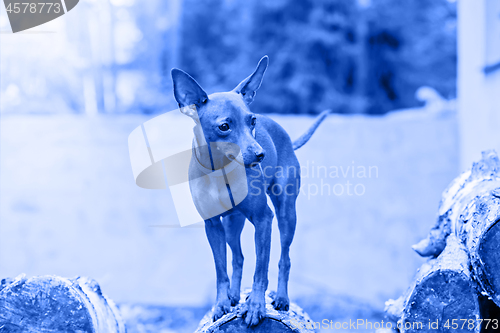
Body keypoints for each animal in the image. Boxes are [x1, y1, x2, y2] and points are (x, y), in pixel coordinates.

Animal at [172, 55, 332, 326]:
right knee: (237, 258)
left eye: (252, 121)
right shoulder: (212, 225)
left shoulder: (264, 219)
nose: (260, 154)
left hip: (286, 214)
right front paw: (221, 303)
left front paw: (256, 306)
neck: (220, 172)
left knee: (284, 258)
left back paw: (281, 298)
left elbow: (261, 269)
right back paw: (234, 295)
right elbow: (221, 270)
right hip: (232, 224)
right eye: (224, 126)